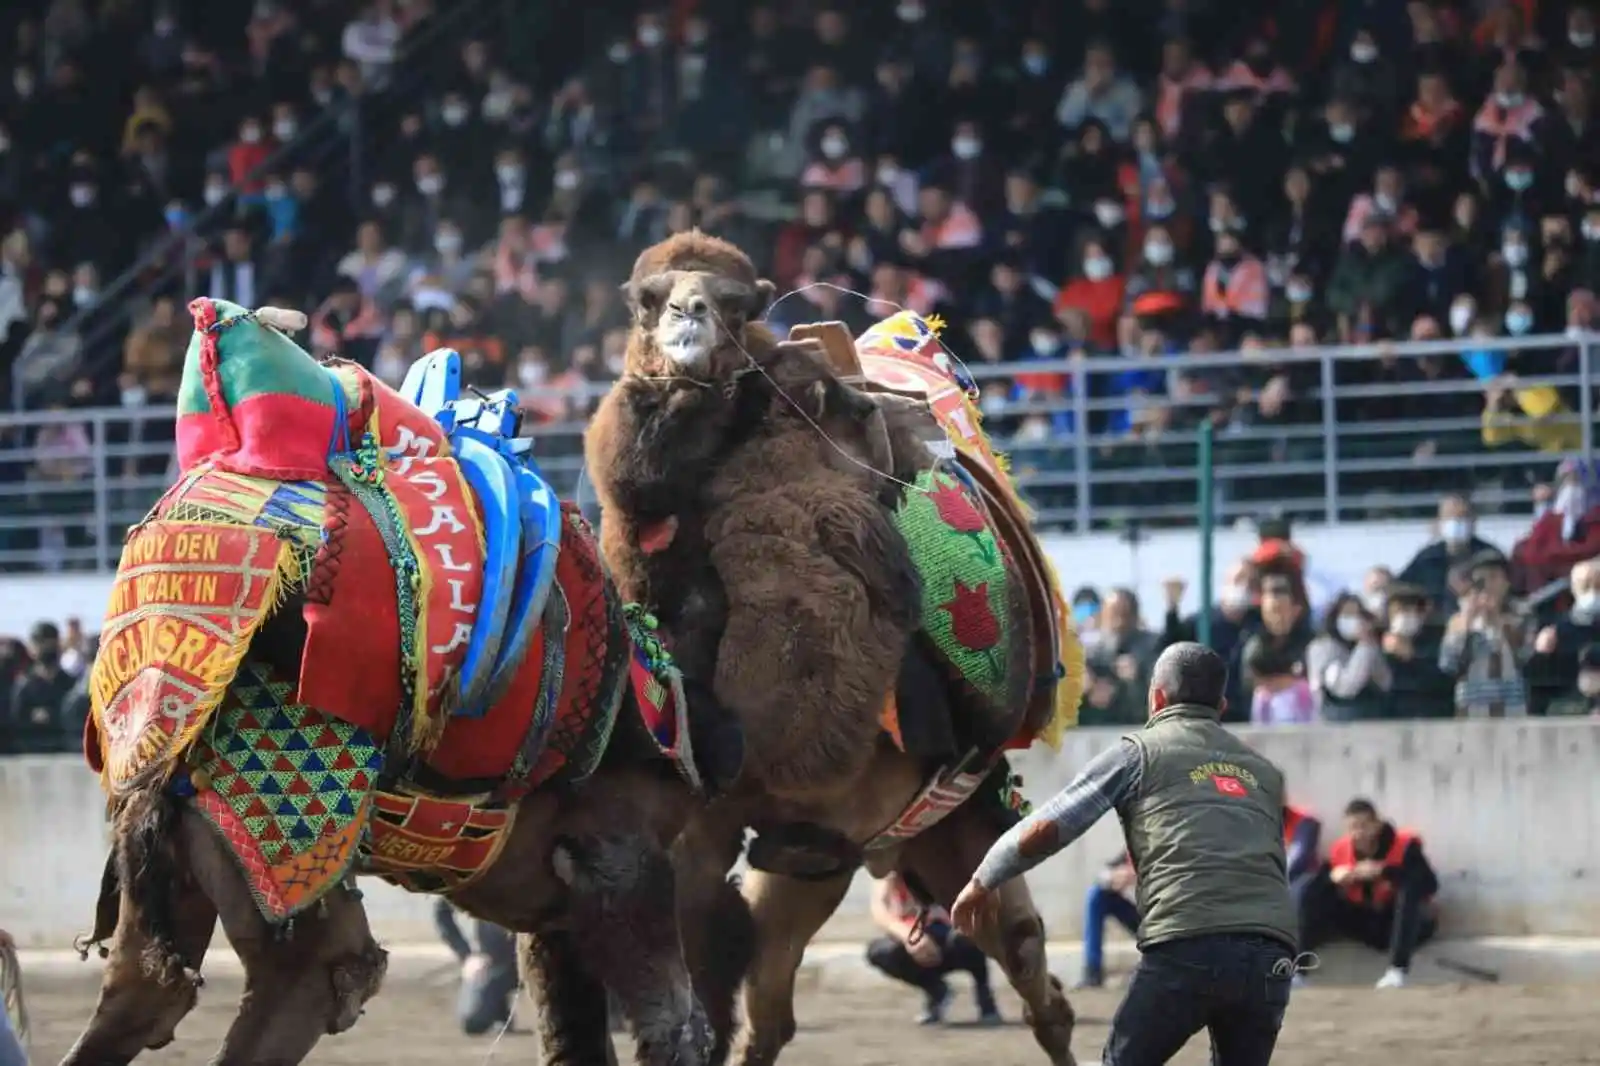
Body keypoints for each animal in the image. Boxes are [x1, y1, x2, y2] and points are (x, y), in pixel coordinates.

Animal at [60, 299, 726, 1062]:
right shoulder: (619, 855)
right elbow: (673, 1026)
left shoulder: (562, 899)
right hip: (284, 813)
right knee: (318, 973)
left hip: (184, 833)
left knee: (145, 991)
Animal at [588, 232, 1088, 1062]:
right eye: (646, 300)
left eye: (736, 305)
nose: (689, 320)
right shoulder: (706, 834)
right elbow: (712, 989)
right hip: (864, 854)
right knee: (772, 1010)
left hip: (966, 824)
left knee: (1028, 967)